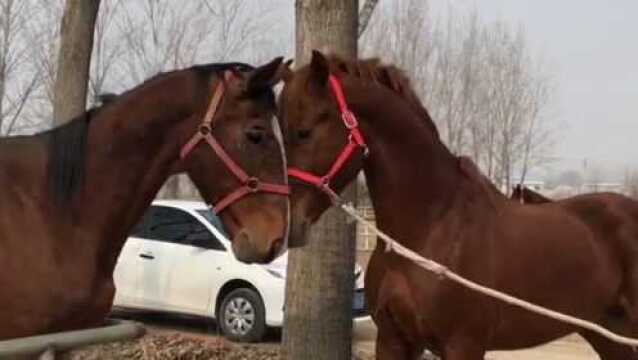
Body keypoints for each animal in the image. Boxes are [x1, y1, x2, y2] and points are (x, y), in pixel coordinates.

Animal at [280, 51, 638, 360]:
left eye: (304, 131)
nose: (288, 223)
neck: (432, 226)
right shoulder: (394, 339)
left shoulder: (462, 344)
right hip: (607, 333)